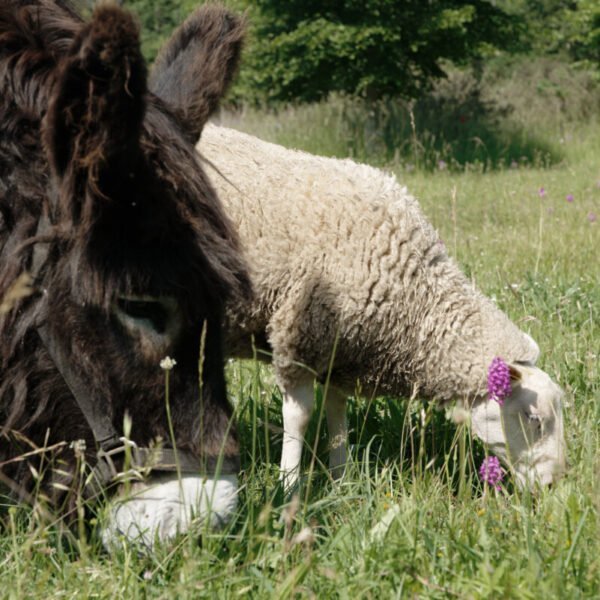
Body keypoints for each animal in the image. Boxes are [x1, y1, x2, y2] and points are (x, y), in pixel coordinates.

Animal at [197, 124, 568, 490]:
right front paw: (289, 486)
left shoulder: (340, 348)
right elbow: (299, 417)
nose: (552, 485)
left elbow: (336, 410)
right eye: (534, 419)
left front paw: (342, 479)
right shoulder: (300, 336)